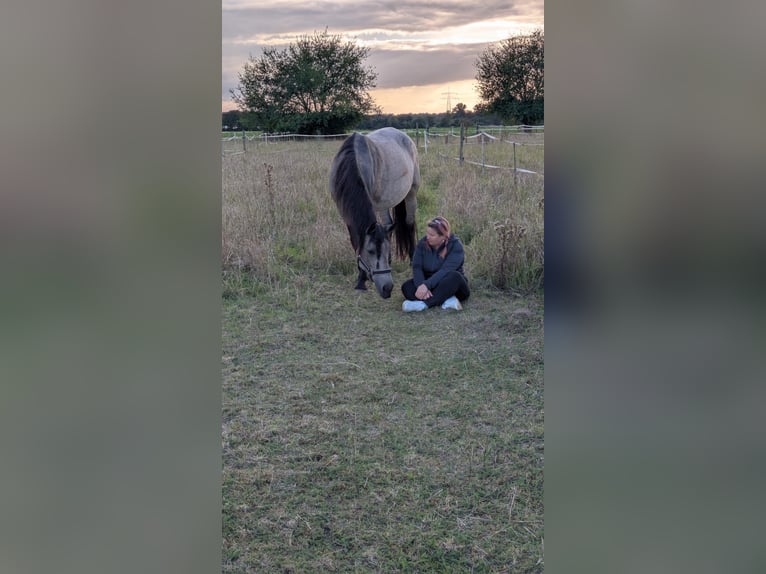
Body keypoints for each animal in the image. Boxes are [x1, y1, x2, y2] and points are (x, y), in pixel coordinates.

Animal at [329, 127, 420, 299]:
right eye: (370, 251)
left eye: (386, 249)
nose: (387, 288)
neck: (353, 161)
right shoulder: (346, 215)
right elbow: (356, 241)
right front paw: (361, 280)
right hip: (384, 203)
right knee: (389, 224)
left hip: (411, 194)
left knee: (409, 223)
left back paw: (413, 259)